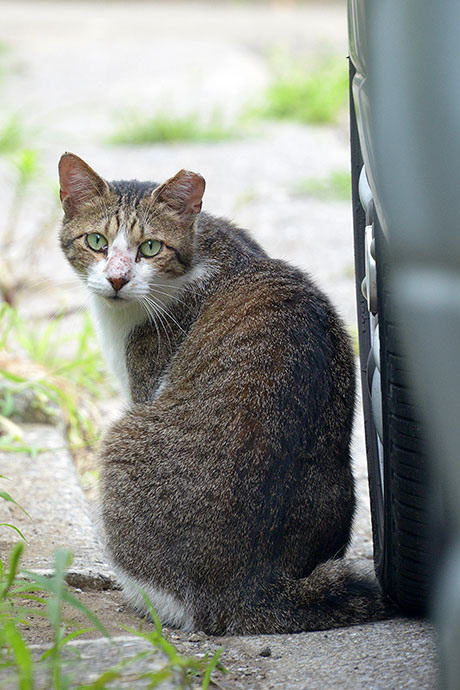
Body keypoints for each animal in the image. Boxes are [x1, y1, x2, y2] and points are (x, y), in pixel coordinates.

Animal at [57, 153, 388, 632]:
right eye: (97, 241)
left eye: (150, 248)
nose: (117, 279)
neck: (202, 246)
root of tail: (252, 586)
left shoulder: (145, 381)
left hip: (123, 439)